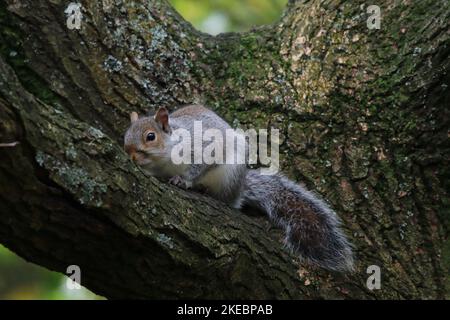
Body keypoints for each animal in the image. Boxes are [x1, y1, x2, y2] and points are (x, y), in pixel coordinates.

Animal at [124, 105, 356, 272]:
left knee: (228, 201)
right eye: (125, 137)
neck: (165, 158)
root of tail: (240, 190)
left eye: (150, 136)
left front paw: (184, 180)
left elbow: (199, 167)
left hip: (229, 177)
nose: (132, 156)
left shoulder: (205, 148)